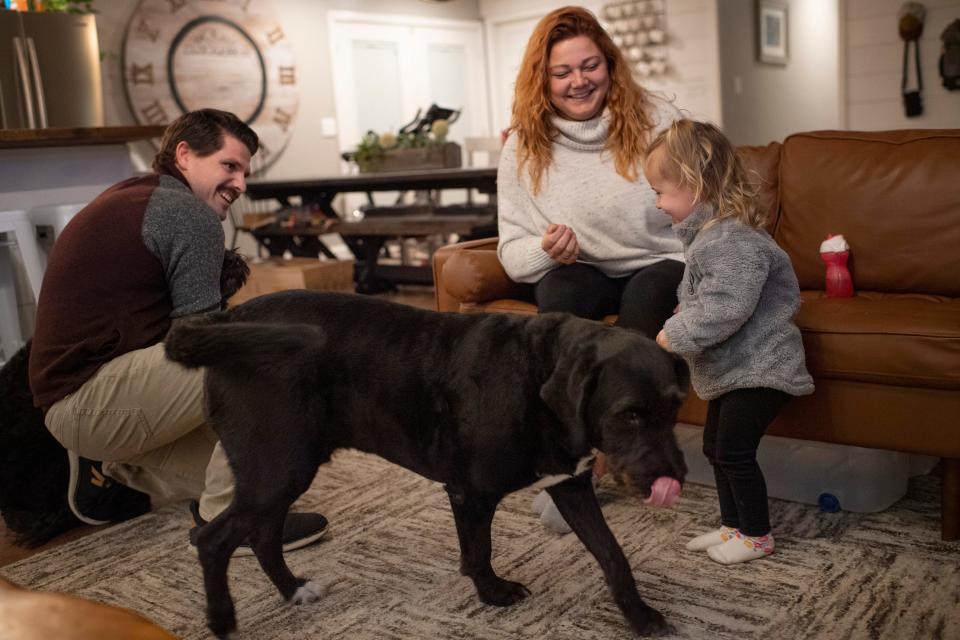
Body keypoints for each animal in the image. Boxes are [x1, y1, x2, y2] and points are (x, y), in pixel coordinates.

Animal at [165, 292, 688, 640]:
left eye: (675, 408)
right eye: (629, 415)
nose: (675, 479)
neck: (537, 371)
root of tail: (229, 316)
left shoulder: (571, 486)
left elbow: (613, 555)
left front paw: (639, 614)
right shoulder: (470, 493)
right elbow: (477, 553)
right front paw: (493, 594)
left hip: (281, 472)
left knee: (263, 537)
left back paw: (292, 590)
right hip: (278, 468)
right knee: (213, 540)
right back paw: (222, 619)